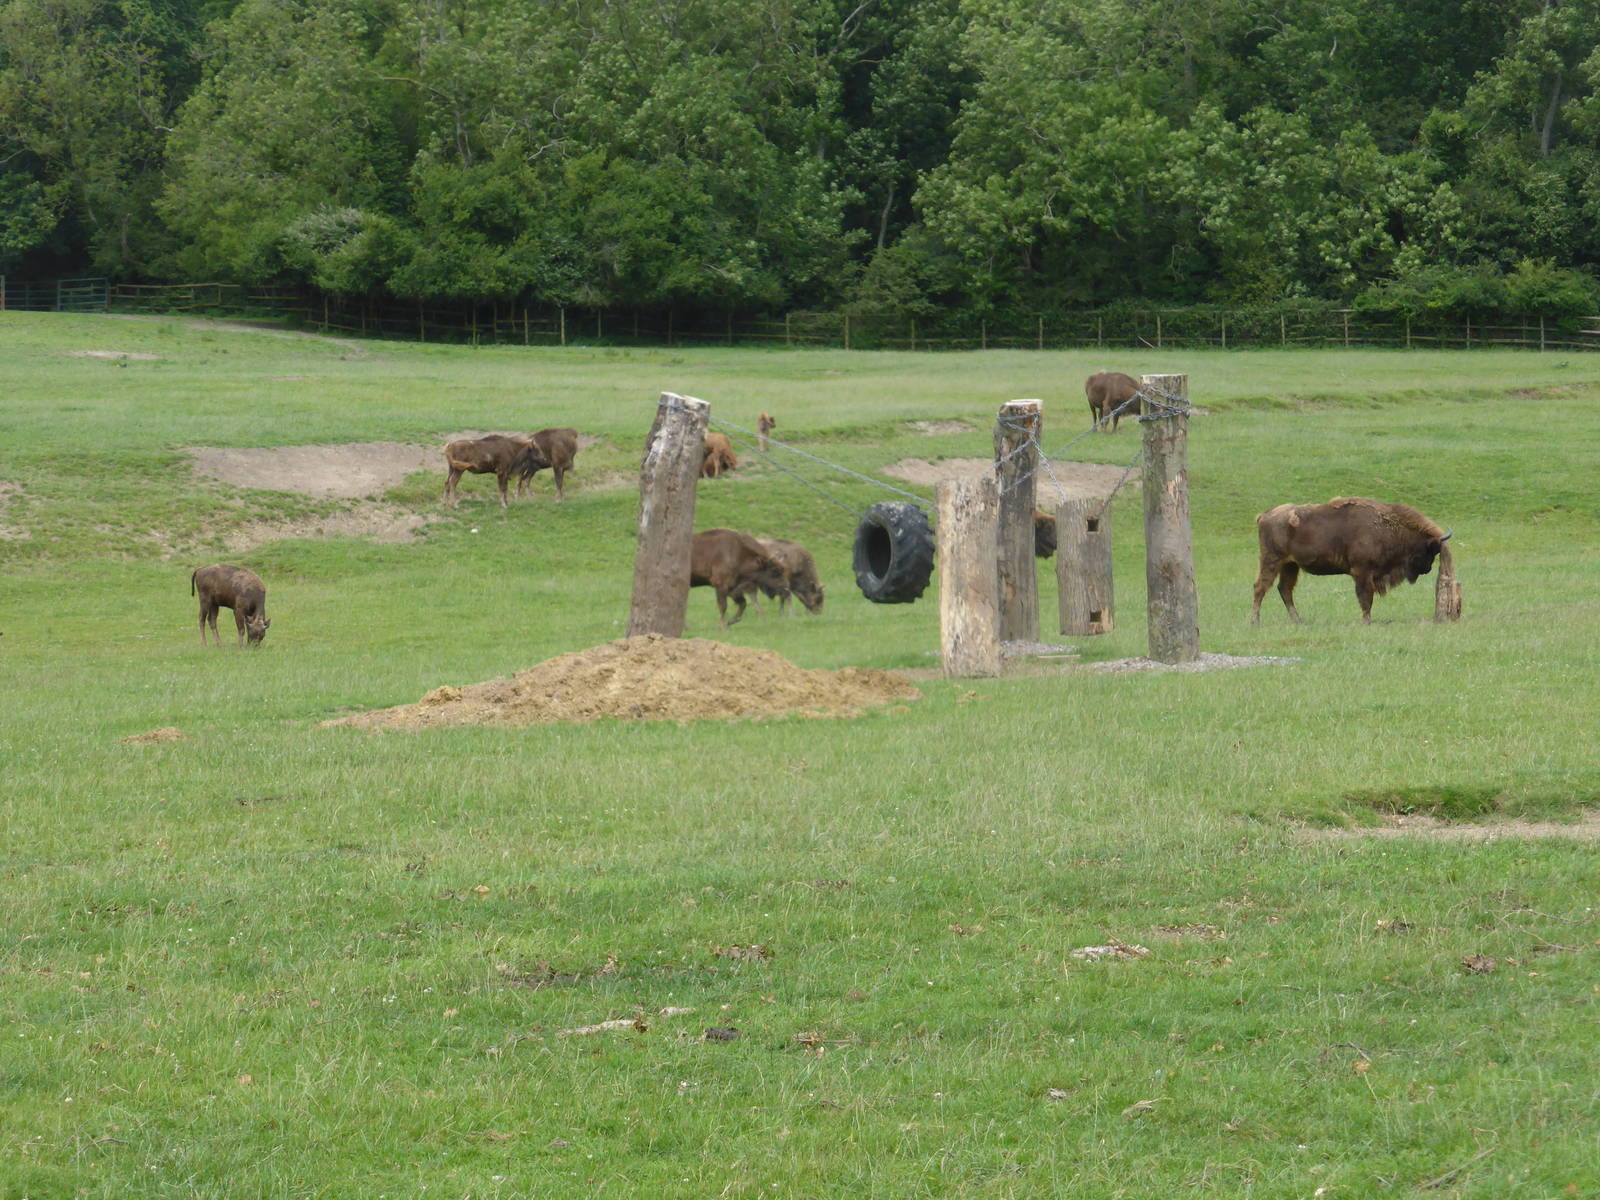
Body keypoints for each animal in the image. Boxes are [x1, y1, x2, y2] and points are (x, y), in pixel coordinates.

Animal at [1251, 497, 1453, 625]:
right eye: (1431, 551)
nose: (1427, 569)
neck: (1386, 527)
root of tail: (1264, 515)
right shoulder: (1362, 572)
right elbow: (1365, 597)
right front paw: (1367, 621)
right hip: (1272, 561)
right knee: (1261, 587)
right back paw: (1255, 621)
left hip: (1290, 565)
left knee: (1284, 589)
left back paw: (1298, 620)